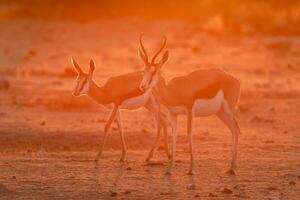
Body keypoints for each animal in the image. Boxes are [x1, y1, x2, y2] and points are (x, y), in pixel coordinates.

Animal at [139, 37, 241, 175]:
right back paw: (231, 167)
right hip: (220, 112)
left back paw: (231, 168)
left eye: (154, 71)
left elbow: (189, 133)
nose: (143, 87)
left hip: (229, 110)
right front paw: (170, 168)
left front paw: (191, 169)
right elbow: (174, 134)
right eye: (143, 71)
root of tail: (234, 79)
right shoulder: (173, 113)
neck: (173, 91)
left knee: (236, 129)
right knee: (233, 129)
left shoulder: (189, 110)